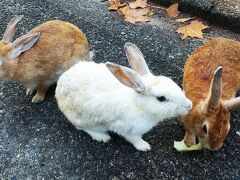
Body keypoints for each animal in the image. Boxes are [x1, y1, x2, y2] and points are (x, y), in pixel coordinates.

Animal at [55, 43, 192, 151]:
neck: (140, 106)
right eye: (161, 98)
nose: (189, 105)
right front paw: (144, 146)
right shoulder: (127, 129)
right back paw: (102, 137)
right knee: (82, 127)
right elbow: (134, 139)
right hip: (85, 120)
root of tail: (59, 87)